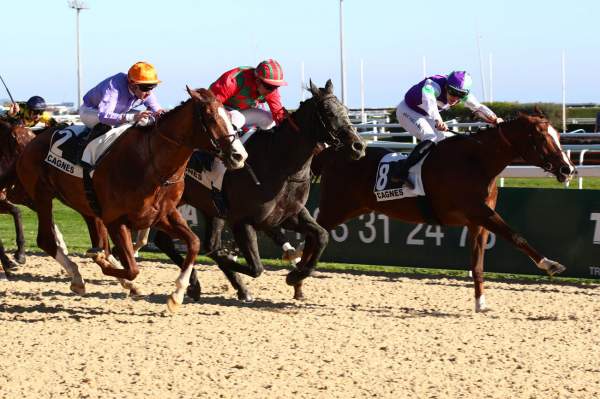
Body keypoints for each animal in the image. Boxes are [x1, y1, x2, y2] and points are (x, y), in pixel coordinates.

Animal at [16, 88, 247, 312]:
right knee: (46, 239)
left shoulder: (161, 215)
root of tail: (33, 139)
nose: (239, 156)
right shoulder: (116, 220)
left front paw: (178, 293)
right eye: (210, 117)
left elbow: (194, 242)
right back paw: (78, 277)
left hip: (86, 205)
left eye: (228, 116)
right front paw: (104, 262)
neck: (152, 165)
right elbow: (132, 268)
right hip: (42, 196)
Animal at [290, 112, 576, 312]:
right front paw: (550, 264)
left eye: (558, 135)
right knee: (314, 236)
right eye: (543, 138)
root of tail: (332, 154)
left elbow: (478, 263)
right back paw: (297, 278)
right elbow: (516, 236)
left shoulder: (477, 222)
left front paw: (480, 303)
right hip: (336, 207)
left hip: (349, 208)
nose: (568, 169)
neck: (477, 162)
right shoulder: (481, 213)